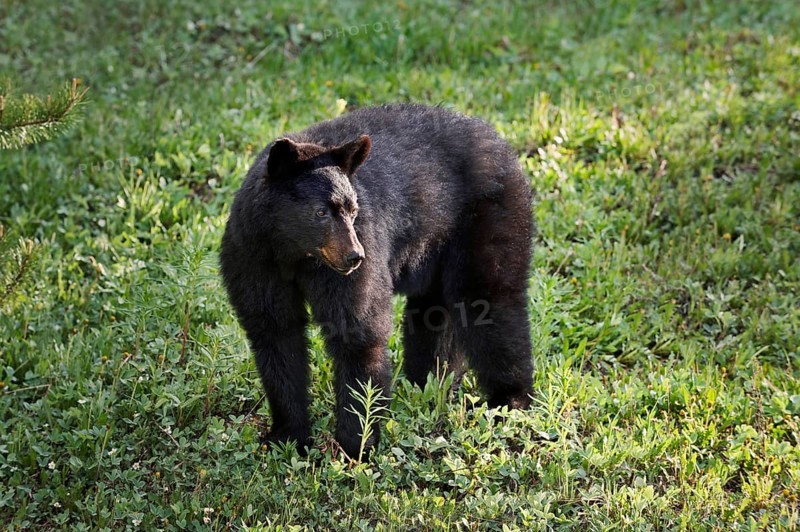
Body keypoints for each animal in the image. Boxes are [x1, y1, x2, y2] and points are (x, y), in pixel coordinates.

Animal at [220, 103, 533, 458]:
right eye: (320, 212)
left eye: (352, 208)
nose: (355, 256)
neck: (294, 255)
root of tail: (498, 138)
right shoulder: (253, 259)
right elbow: (275, 333)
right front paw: (287, 437)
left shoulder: (350, 258)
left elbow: (358, 331)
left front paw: (356, 443)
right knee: (433, 312)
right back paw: (429, 383)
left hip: (487, 216)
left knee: (489, 300)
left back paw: (509, 401)